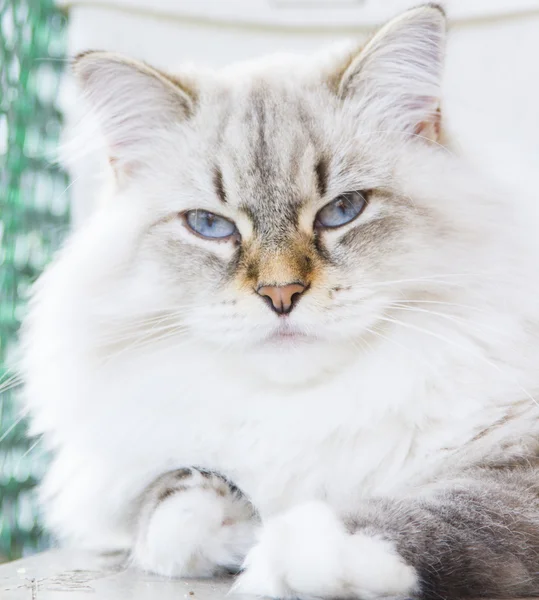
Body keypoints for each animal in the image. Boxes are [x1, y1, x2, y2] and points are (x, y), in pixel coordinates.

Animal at [21, 4, 539, 600]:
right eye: (209, 225)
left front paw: (293, 553)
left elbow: (443, 512)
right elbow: (169, 508)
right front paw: (240, 525)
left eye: (342, 210)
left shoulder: (517, 457)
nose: (280, 293)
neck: (308, 410)